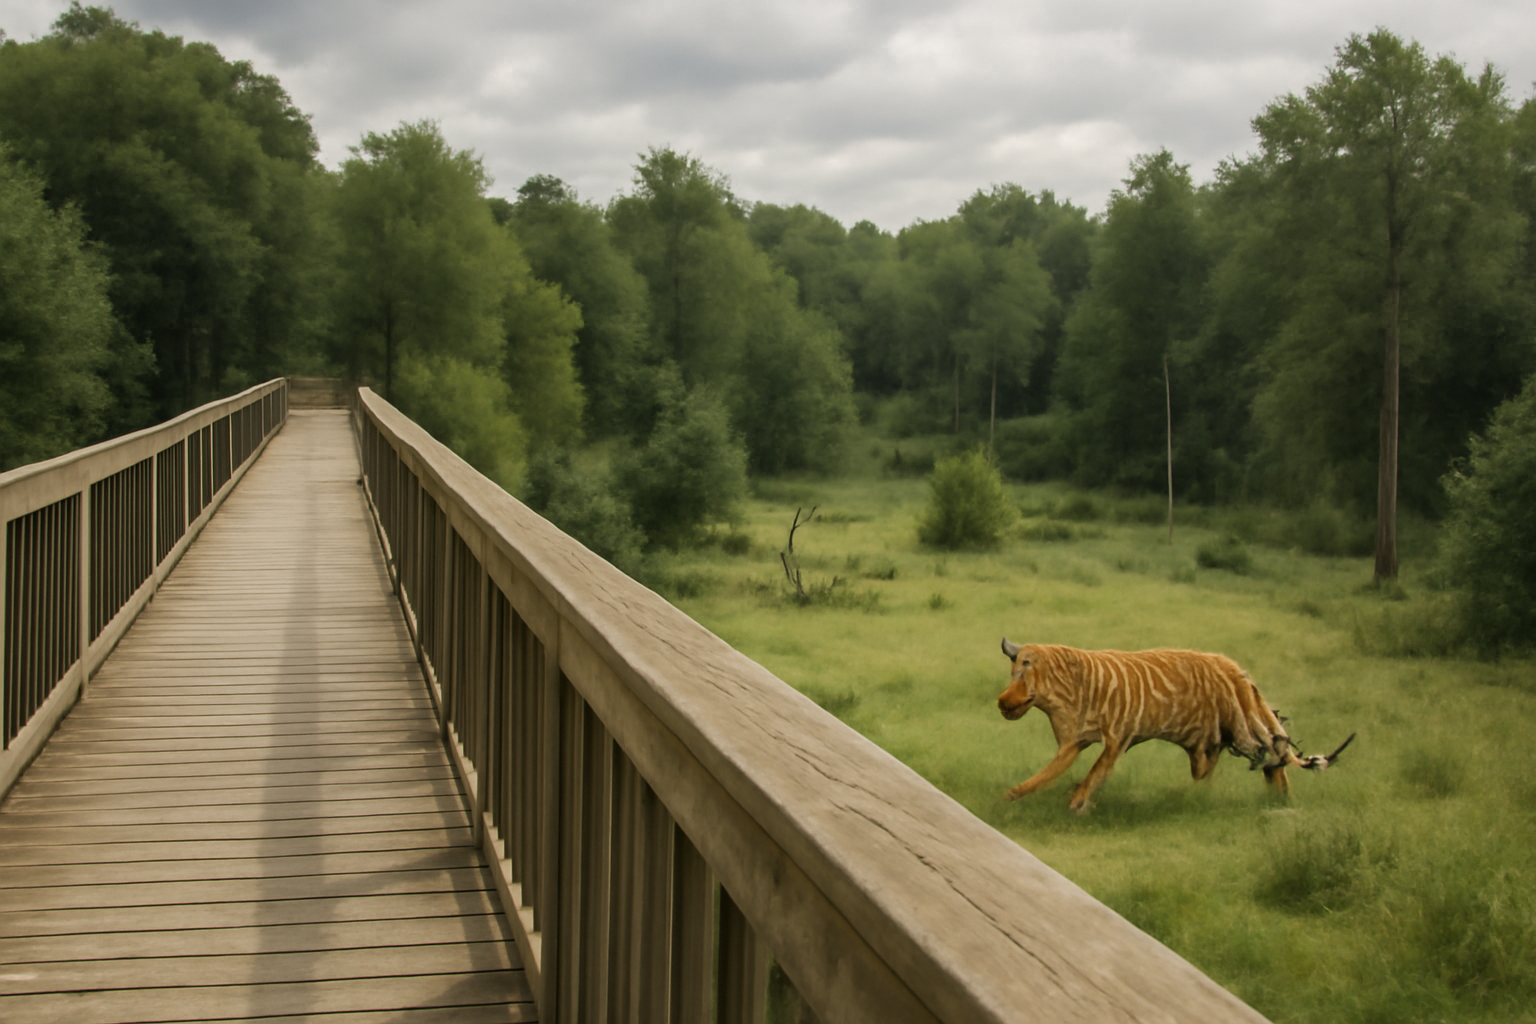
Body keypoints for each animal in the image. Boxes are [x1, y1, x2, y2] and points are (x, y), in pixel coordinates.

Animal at [997, 639, 1354, 812]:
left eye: (1025, 666)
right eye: (1013, 670)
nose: (1002, 701)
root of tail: (1235, 669)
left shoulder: (1116, 738)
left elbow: (1094, 775)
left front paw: (1076, 804)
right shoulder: (1075, 741)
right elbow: (1050, 773)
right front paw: (1013, 795)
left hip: (1236, 728)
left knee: (1271, 751)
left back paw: (1279, 798)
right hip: (1210, 741)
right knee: (1266, 756)